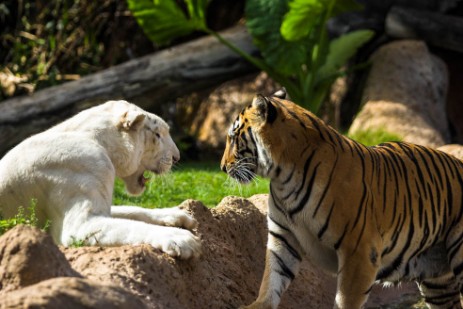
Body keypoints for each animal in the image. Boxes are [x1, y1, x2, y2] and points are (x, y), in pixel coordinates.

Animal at [220, 89, 463, 308]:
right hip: (437, 281)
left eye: (233, 137)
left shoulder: (359, 250)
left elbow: (346, 299)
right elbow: (271, 279)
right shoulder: (283, 235)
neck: (282, 177)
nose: (222, 167)